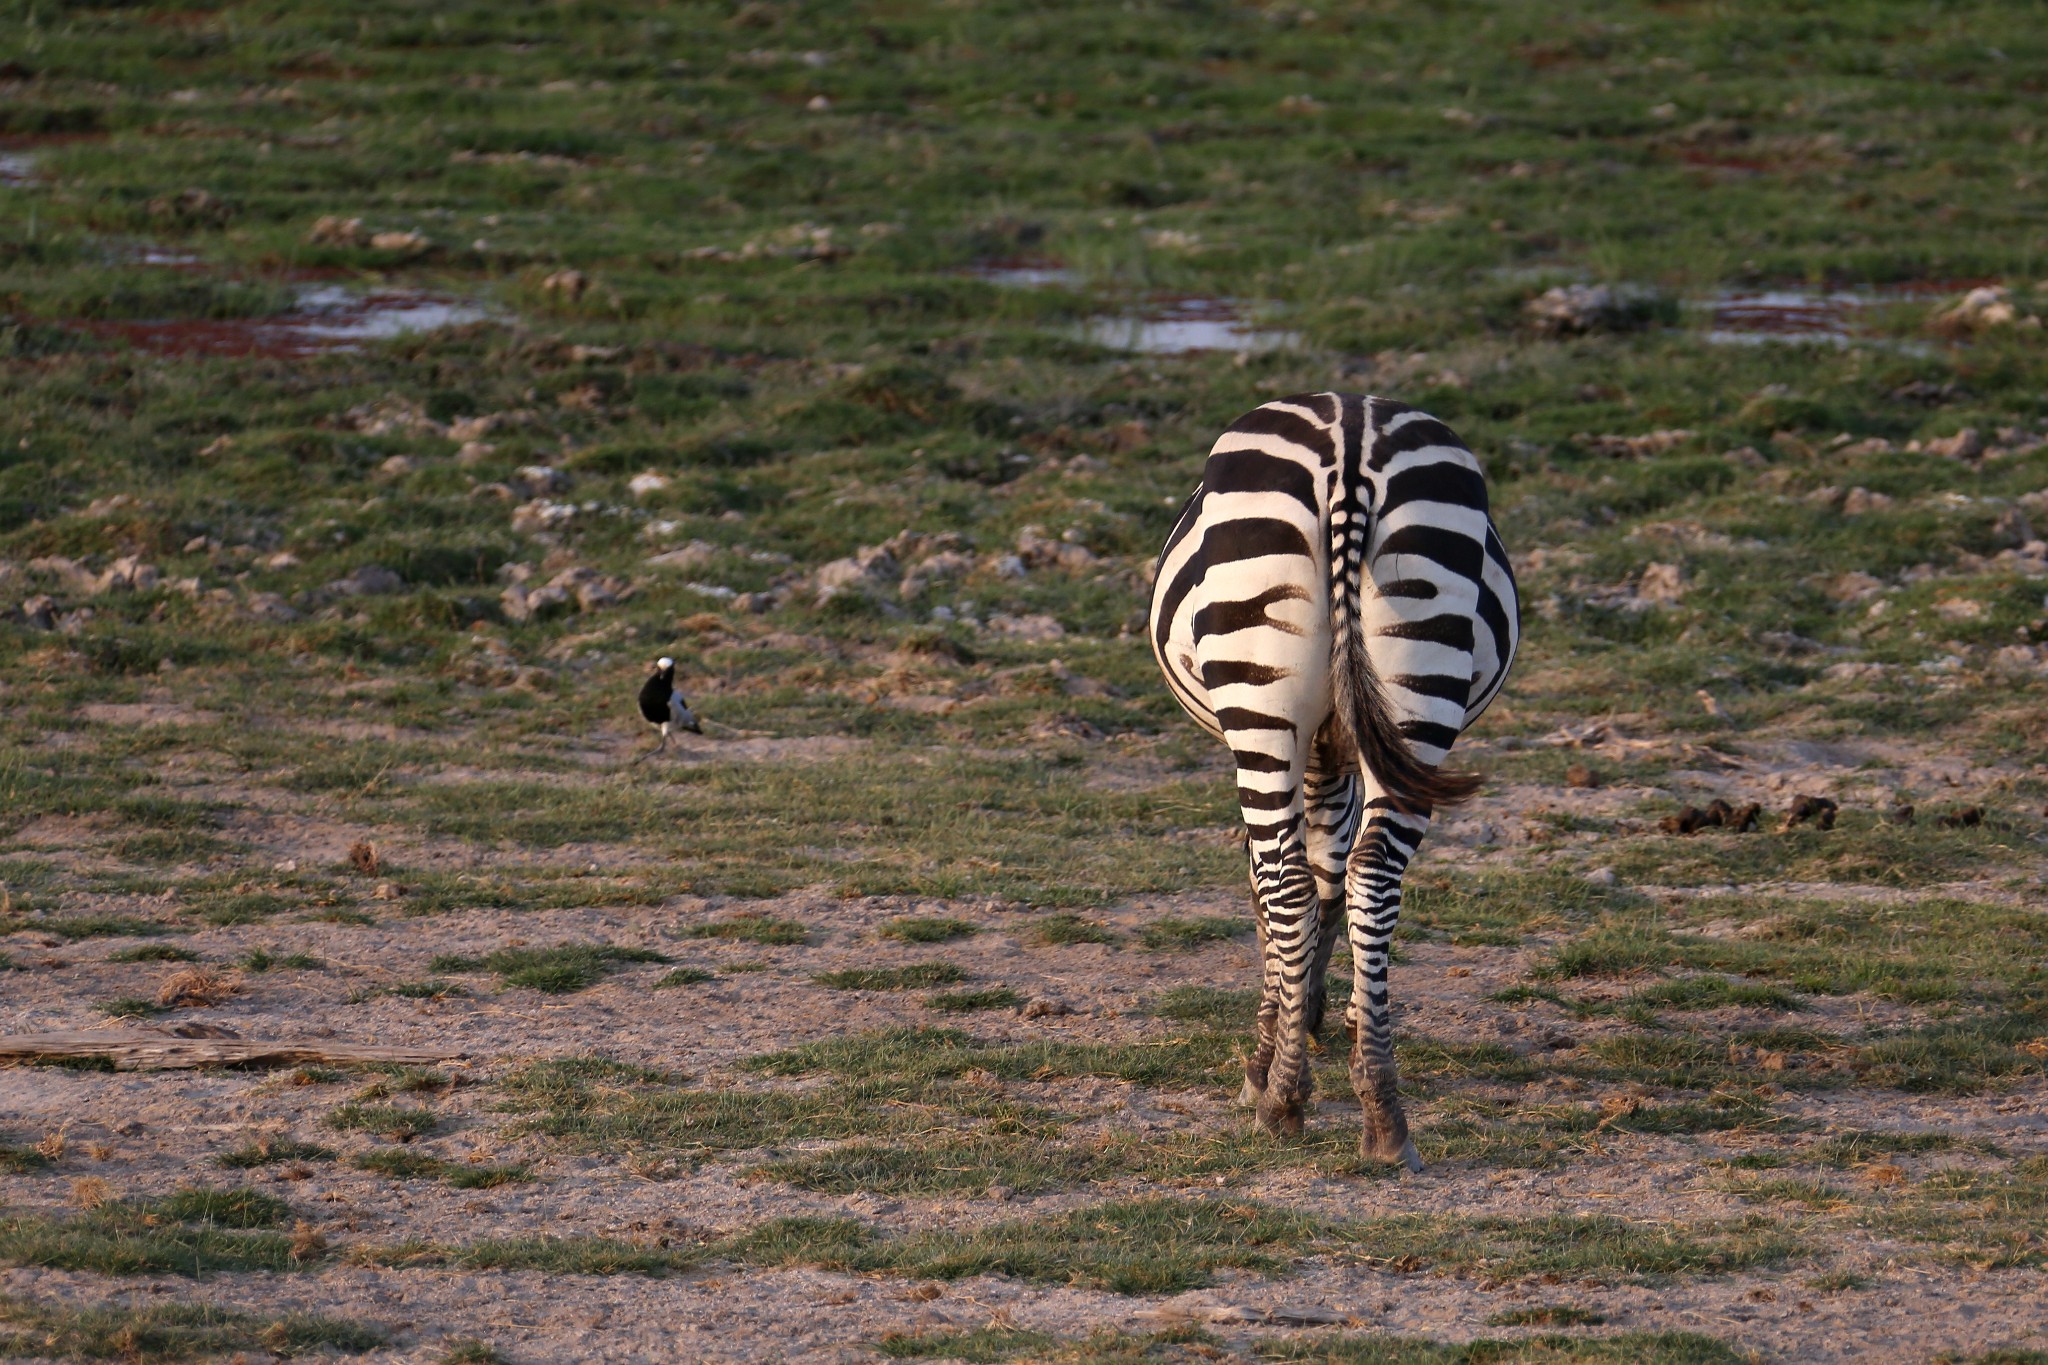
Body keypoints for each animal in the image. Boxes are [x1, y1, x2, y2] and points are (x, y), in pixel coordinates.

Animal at [1155, 388, 1523, 1170]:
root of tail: (1350, 436)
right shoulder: (1335, 755)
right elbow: (1336, 876)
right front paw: (1340, 1014)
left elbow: (1275, 887)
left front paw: (1269, 1048)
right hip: (1421, 679)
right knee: (1373, 872)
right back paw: (1383, 1112)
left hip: (1261, 702)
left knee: (1288, 878)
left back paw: (1281, 1102)